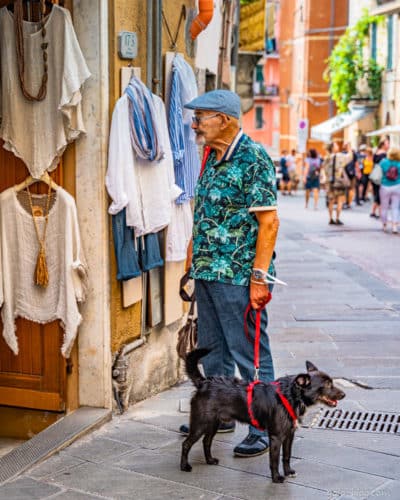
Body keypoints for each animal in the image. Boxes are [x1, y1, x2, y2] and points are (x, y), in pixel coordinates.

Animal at [180, 350, 346, 482]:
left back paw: (209, 460)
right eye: (327, 385)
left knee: (206, 442)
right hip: (200, 424)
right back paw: (184, 466)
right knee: (186, 444)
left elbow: (286, 456)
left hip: (213, 423)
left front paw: (288, 472)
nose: (344, 394)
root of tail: (204, 383)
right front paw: (277, 478)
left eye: (331, 382)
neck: (291, 395)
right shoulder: (276, 437)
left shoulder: (289, 435)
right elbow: (274, 460)